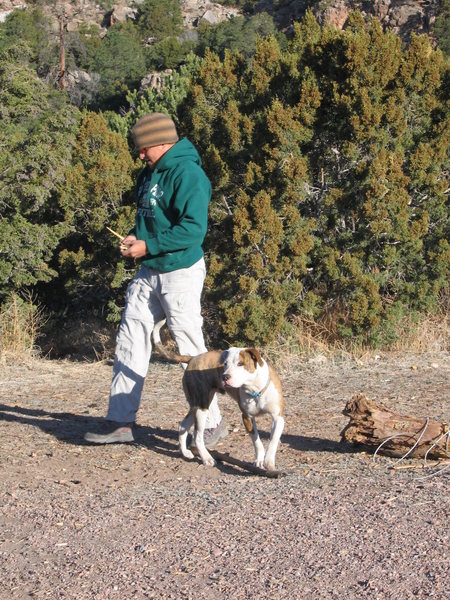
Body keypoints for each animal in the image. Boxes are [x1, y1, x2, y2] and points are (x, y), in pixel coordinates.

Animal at [153, 322, 284, 472]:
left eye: (240, 364)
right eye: (225, 364)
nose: (225, 376)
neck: (255, 390)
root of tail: (192, 358)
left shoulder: (278, 417)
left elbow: (273, 440)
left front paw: (268, 461)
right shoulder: (247, 417)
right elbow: (257, 441)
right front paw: (260, 460)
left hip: (196, 404)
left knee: (183, 425)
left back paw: (185, 452)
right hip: (202, 407)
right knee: (197, 437)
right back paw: (207, 458)